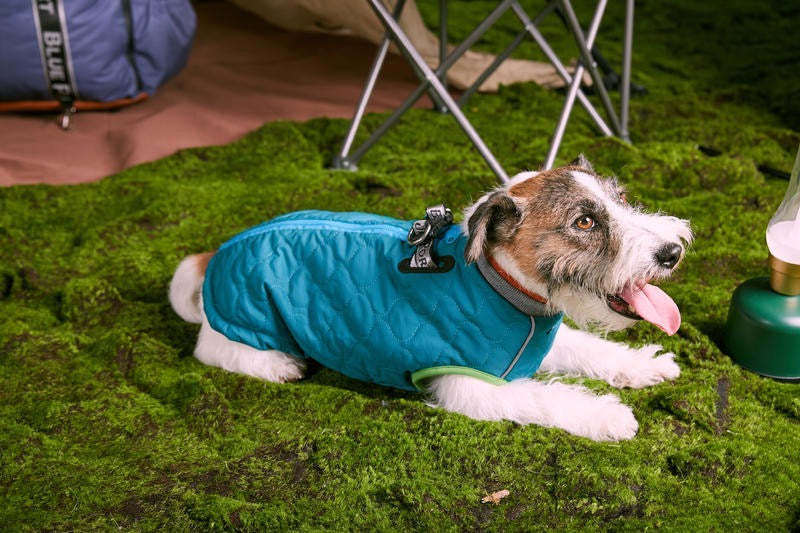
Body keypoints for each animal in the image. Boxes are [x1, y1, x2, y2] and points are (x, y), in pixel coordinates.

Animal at [170, 158, 692, 440]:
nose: (672, 252)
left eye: (621, 200)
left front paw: (643, 366)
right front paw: (607, 415)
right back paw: (278, 364)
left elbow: (589, 348)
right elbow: (545, 398)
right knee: (213, 351)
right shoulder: (471, 385)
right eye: (584, 222)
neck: (503, 289)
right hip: (244, 326)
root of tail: (219, 252)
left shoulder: (533, 342)